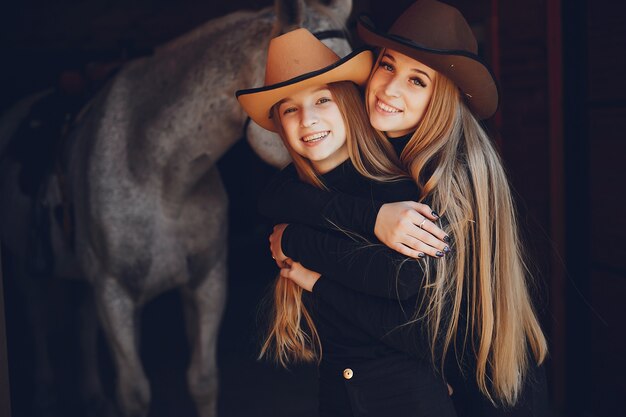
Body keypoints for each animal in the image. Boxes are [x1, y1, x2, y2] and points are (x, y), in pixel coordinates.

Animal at [0, 0, 352, 414]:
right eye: (319, 97)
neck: (158, 172)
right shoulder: (114, 295)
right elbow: (134, 392)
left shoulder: (206, 282)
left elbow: (202, 380)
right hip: (26, 265)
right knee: (37, 319)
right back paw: (44, 393)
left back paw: (92, 394)